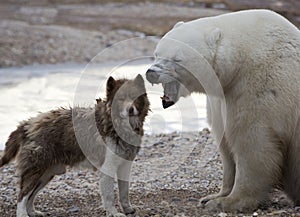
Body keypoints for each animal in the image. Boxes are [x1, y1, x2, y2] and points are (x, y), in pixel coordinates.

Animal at [0, 74, 150, 217]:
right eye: (120, 99)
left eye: (134, 97)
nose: (130, 109)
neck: (114, 124)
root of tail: (27, 124)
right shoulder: (108, 167)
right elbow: (109, 196)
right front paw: (113, 213)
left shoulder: (125, 166)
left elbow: (124, 192)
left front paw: (127, 209)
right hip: (36, 170)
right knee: (22, 195)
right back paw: (22, 214)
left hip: (46, 174)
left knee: (30, 196)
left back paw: (32, 212)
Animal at [146, 9, 300, 212]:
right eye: (157, 53)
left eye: (177, 58)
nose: (151, 72)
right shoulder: (221, 99)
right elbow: (225, 144)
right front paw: (213, 196)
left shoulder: (262, 88)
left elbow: (252, 143)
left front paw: (228, 202)